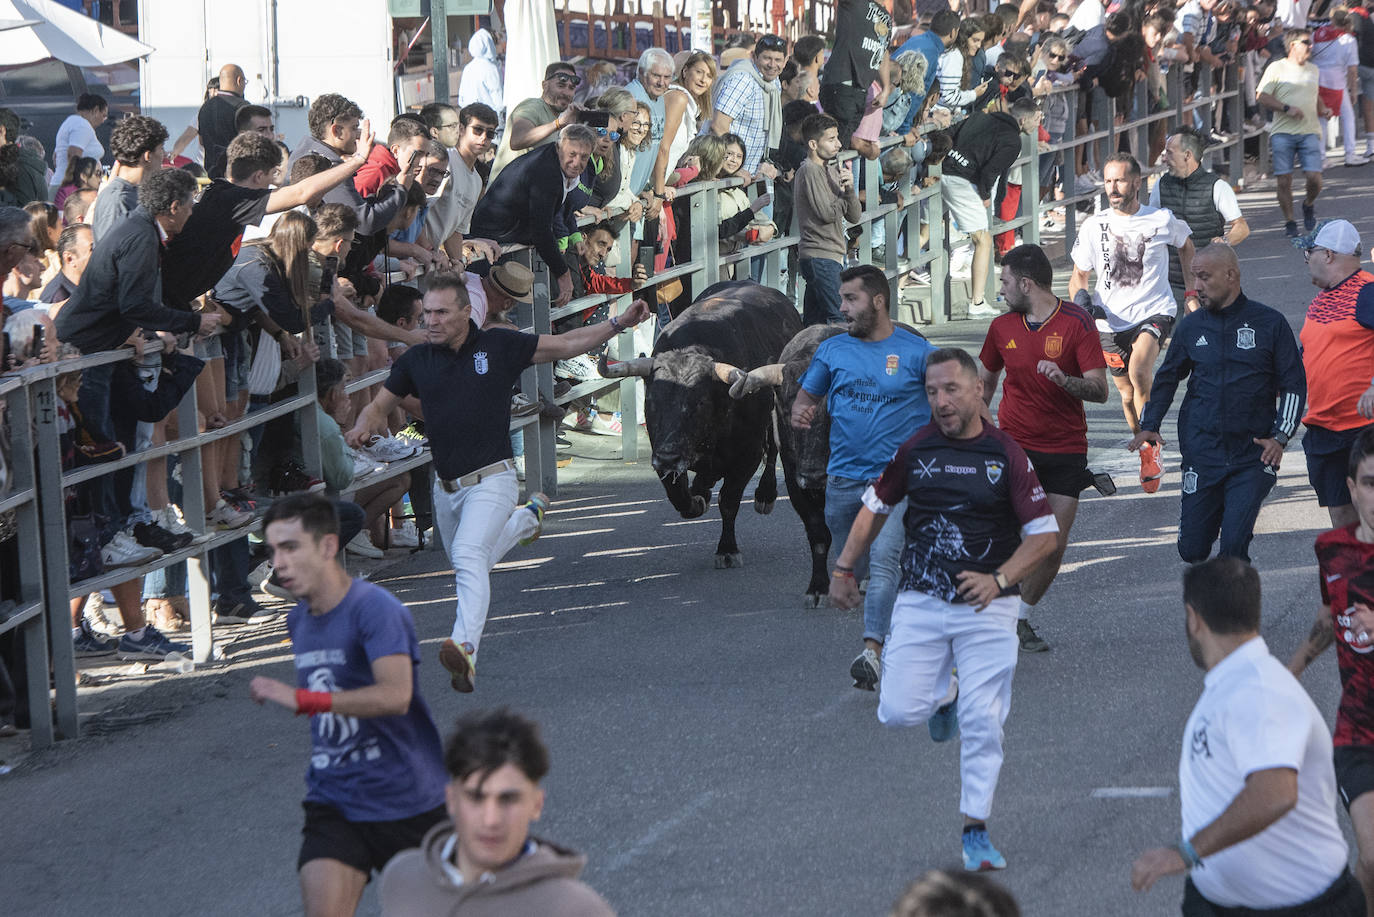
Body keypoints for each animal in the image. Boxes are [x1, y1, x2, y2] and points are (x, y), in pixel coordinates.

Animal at [596, 283, 829, 604]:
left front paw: (727, 549)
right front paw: (696, 498)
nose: (667, 457)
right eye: (652, 400)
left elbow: (729, 501)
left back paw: (765, 495)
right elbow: (679, 496)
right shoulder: (664, 451)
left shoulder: (746, 455)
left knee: (772, 453)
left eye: (699, 402)